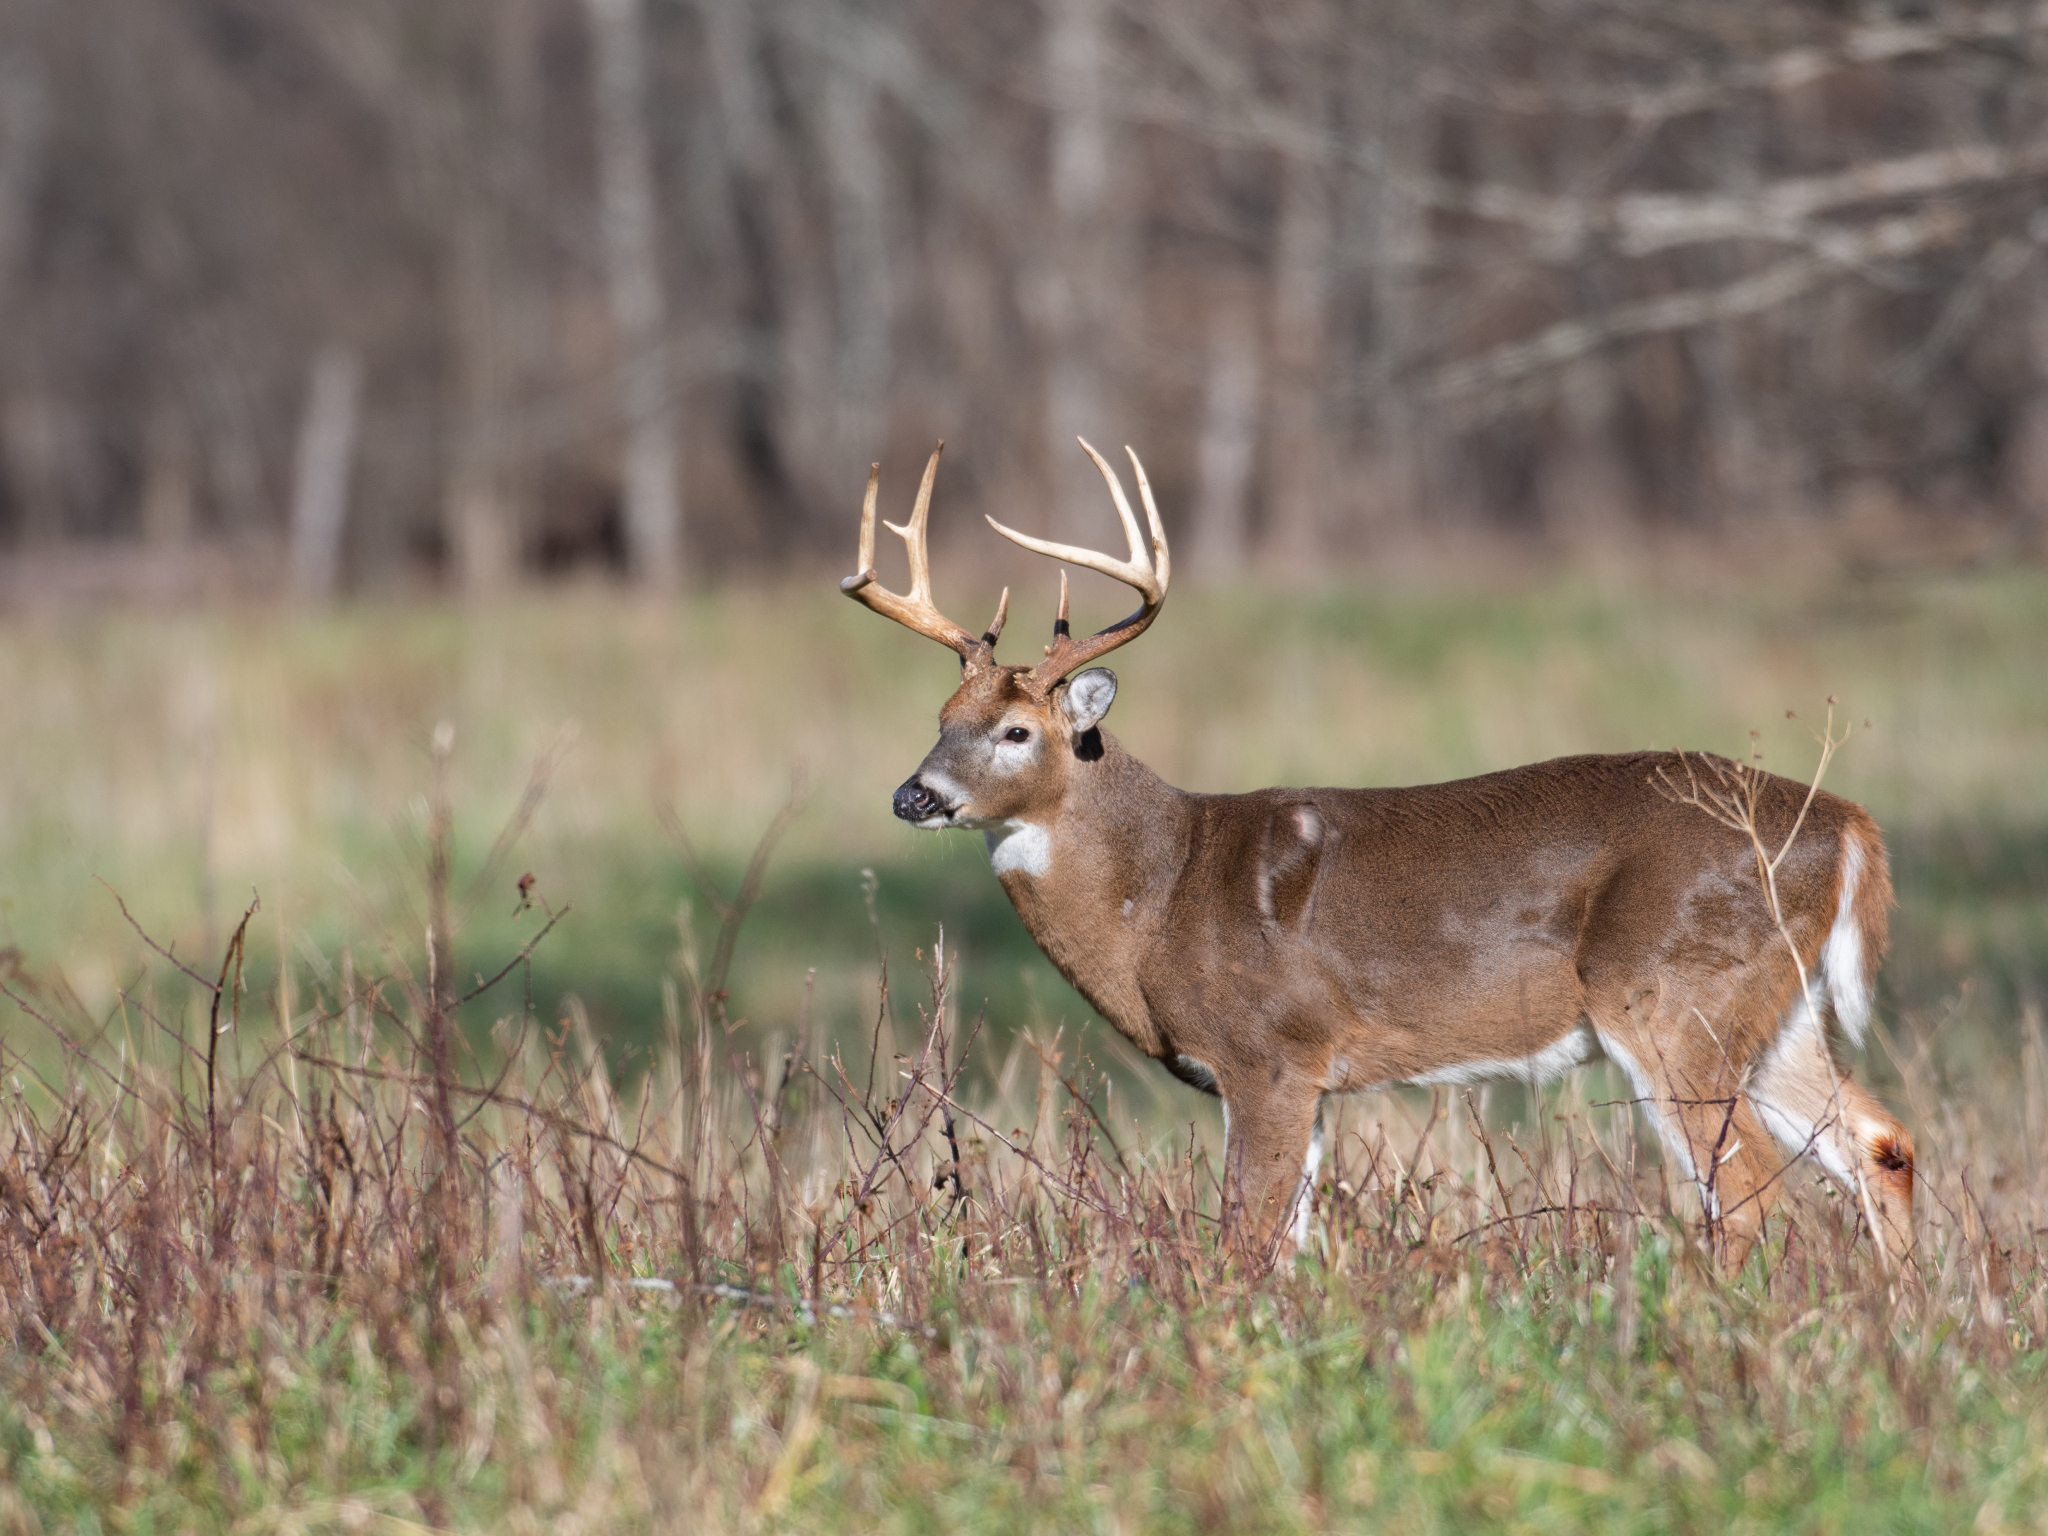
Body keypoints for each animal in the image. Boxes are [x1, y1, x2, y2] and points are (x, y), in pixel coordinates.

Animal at [842, 440, 1915, 1271]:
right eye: (942, 718)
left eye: (1018, 731)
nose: (913, 794)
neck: (1161, 895)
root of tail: (1847, 822)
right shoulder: (1311, 1076)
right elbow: (1286, 1242)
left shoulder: (1269, 1051)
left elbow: (1244, 1240)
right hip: (1771, 1007)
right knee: (1882, 1142)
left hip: (1672, 996)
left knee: (1751, 1193)